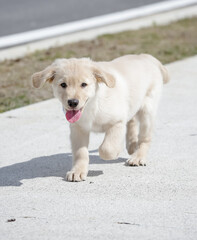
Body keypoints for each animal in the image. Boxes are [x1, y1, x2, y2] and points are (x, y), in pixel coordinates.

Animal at [31, 54, 169, 182]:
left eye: (84, 84)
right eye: (63, 84)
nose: (73, 102)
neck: (92, 105)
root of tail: (145, 56)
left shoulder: (117, 122)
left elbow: (106, 149)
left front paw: (115, 151)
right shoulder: (78, 129)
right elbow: (80, 153)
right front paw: (78, 171)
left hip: (147, 110)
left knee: (145, 138)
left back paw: (138, 157)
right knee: (132, 120)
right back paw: (131, 144)